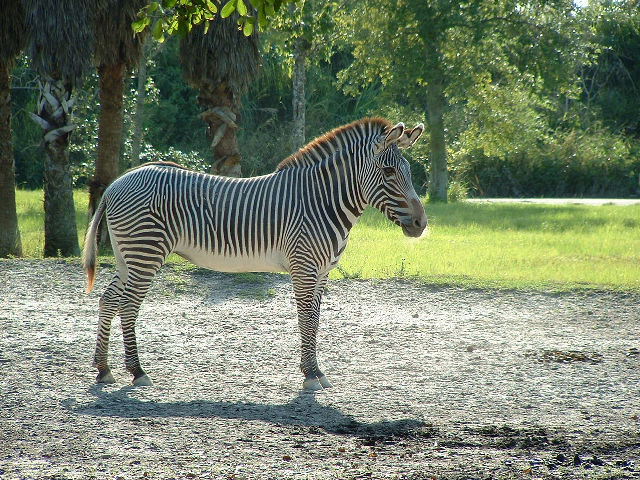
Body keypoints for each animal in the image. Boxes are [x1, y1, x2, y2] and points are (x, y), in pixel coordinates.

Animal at [83, 117, 427, 391]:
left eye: (408, 171)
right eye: (388, 171)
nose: (422, 224)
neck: (322, 201)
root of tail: (115, 184)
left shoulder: (322, 272)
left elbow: (315, 320)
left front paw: (316, 371)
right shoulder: (304, 267)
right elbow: (306, 319)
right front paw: (310, 375)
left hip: (127, 256)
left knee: (109, 299)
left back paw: (103, 369)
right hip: (145, 252)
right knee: (128, 305)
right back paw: (137, 371)